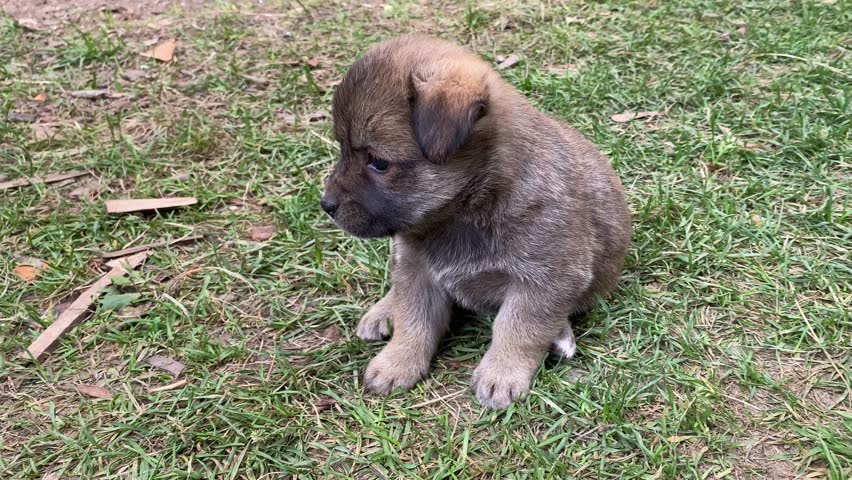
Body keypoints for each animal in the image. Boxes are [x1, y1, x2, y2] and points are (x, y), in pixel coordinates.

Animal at [321, 34, 631, 409]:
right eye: (342, 148)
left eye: (379, 163)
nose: (326, 205)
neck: (467, 210)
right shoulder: (416, 270)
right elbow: (414, 321)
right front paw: (398, 361)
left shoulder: (547, 279)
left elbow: (517, 327)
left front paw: (502, 373)